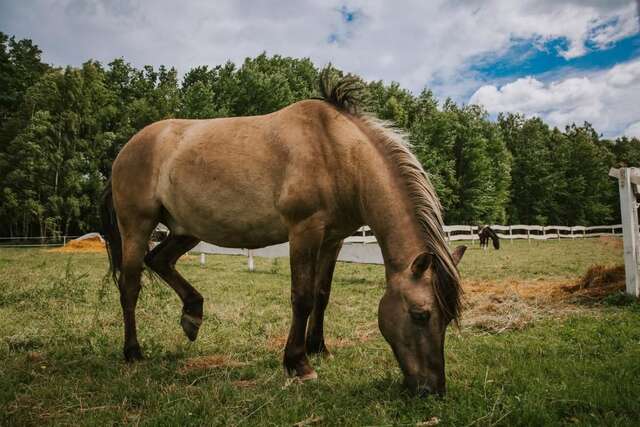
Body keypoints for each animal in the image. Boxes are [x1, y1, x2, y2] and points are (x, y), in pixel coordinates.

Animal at [102, 71, 468, 398]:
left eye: (448, 317)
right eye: (420, 314)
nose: (432, 390)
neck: (337, 153)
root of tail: (127, 149)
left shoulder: (333, 239)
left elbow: (322, 294)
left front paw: (318, 347)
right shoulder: (304, 231)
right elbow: (302, 296)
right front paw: (298, 363)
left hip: (185, 230)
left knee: (159, 260)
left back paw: (192, 315)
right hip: (137, 227)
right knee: (130, 286)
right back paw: (133, 352)